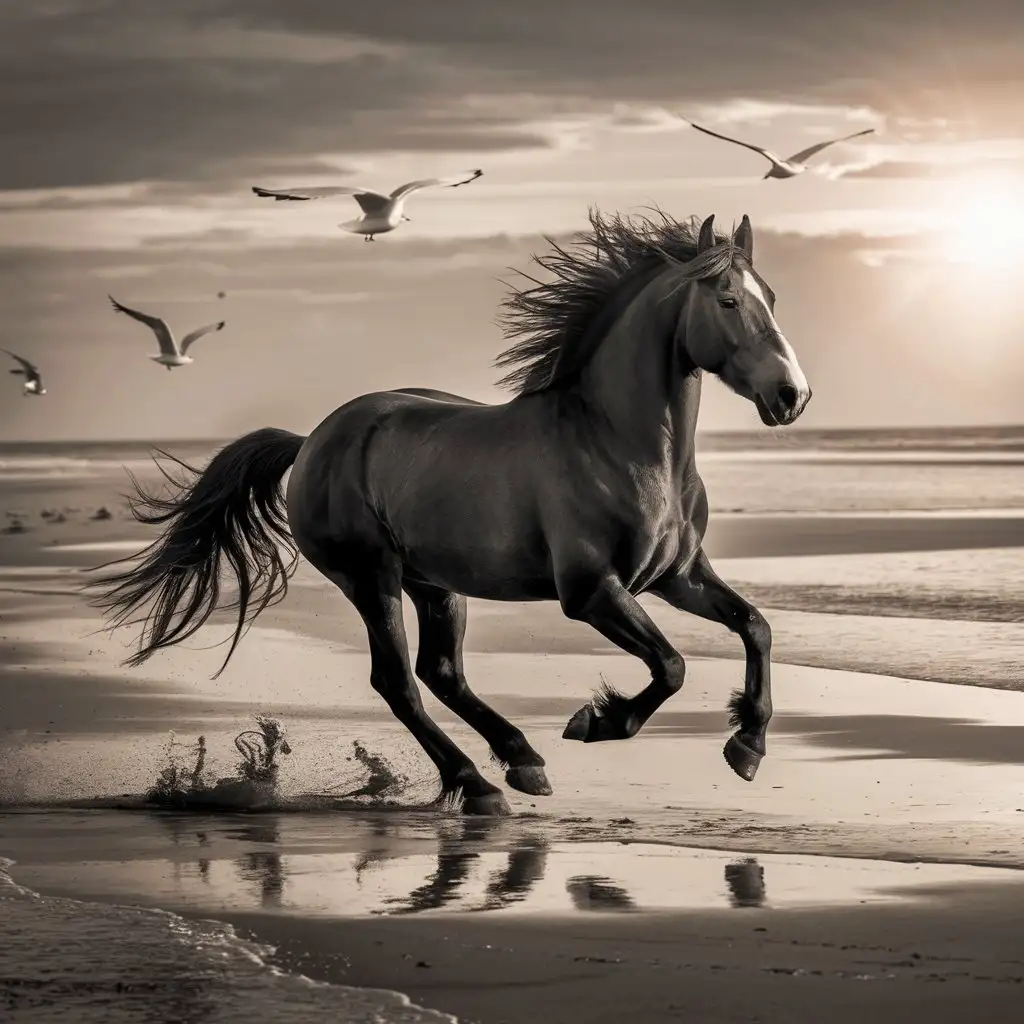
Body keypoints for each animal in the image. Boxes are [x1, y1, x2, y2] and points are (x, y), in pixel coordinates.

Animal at [86, 207, 806, 815]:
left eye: (773, 298)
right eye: (728, 299)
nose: (790, 395)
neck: (619, 446)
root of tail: (313, 438)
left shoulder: (677, 576)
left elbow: (755, 626)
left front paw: (747, 747)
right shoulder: (590, 591)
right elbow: (672, 666)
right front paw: (598, 721)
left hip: (435, 583)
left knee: (442, 673)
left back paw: (521, 762)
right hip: (370, 576)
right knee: (397, 680)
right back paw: (480, 784)